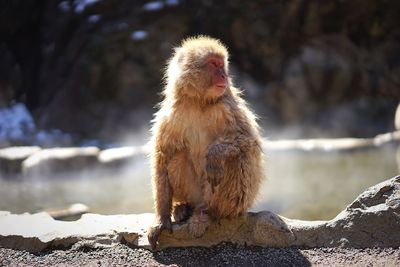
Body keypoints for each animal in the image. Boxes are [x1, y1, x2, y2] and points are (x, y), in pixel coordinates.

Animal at [148, 36, 264, 251]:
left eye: (222, 65)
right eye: (213, 64)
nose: (224, 76)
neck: (198, 102)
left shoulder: (228, 106)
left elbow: (248, 141)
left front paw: (215, 154)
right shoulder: (170, 115)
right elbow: (163, 157)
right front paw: (162, 218)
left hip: (236, 203)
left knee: (234, 160)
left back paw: (207, 213)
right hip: (194, 193)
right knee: (178, 156)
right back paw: (184, 208)